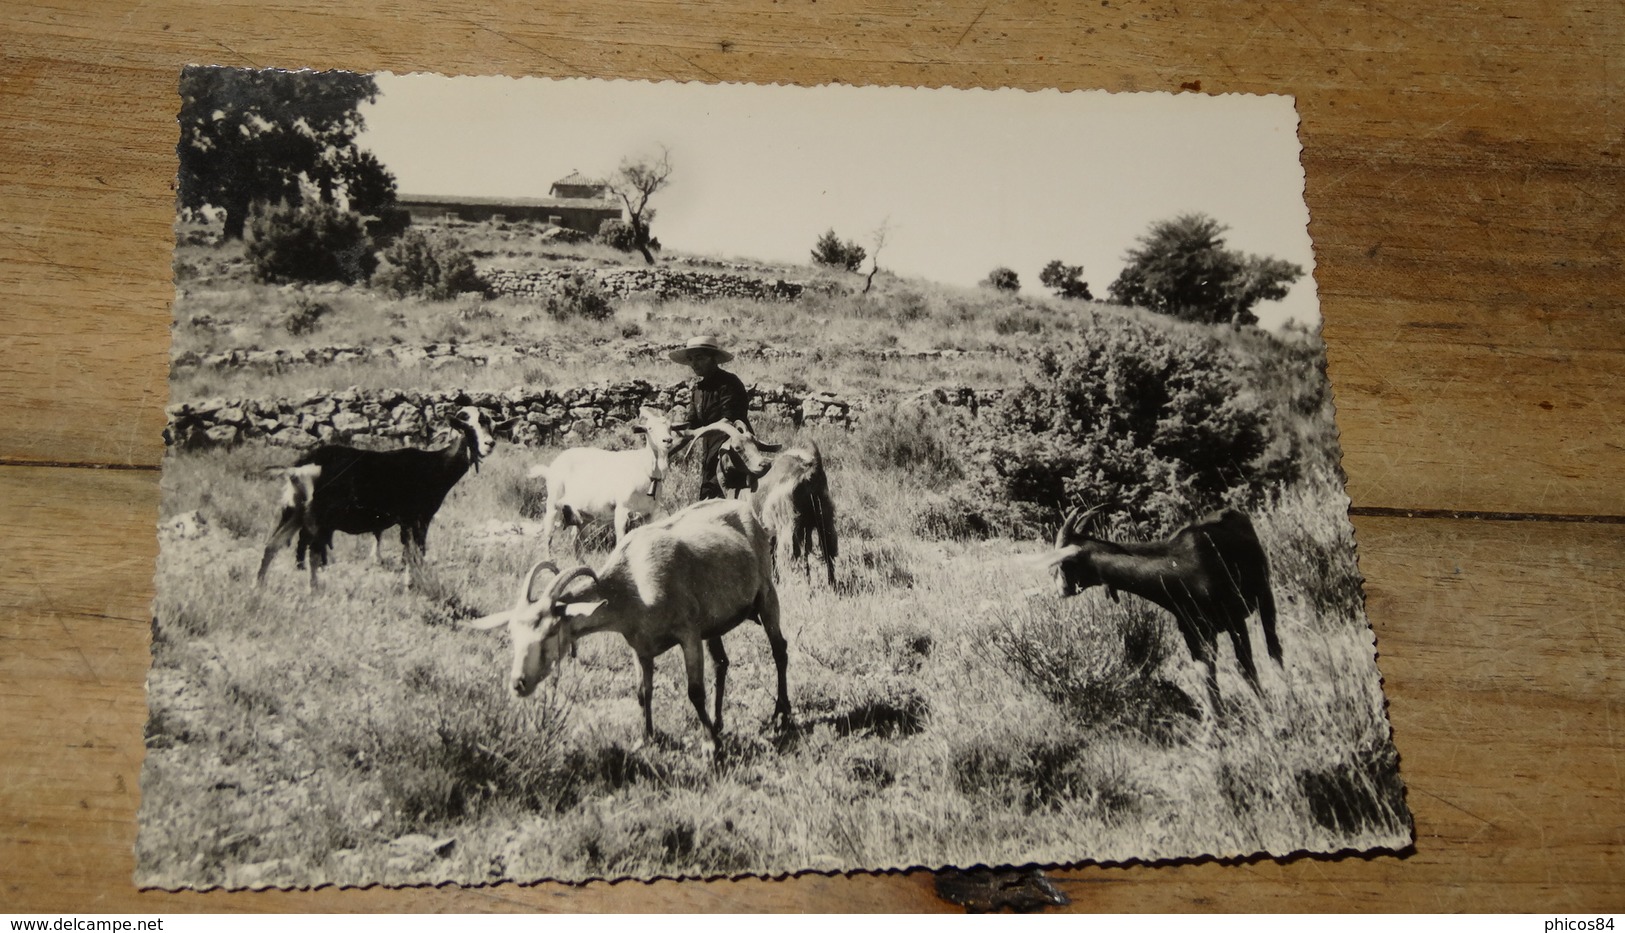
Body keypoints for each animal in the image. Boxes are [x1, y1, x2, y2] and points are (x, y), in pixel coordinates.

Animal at [251, 406, 494, 588]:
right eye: (467, 427)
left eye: (488, 423)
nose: (490, 444)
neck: (435, 466)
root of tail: (303, 466)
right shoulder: (419, 517)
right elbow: (415, 552)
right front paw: (414, 584)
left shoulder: (405, 521)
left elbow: (409, 552)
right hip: (319, 516)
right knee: (312, 553)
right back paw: (314, 589)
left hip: (294, 510)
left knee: (271, 545)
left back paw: (259, 587)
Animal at [464, 497, 793, 754]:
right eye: (512, 634)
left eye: (551, 630)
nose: (518, 683)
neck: (633, 583)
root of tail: (747, 510)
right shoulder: (639, 646)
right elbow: (642, 692)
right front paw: (646, 738)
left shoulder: (688, 632)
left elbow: (694, 691)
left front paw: (710, 745)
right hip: (714, 624)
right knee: (721, 663)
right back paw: (719, 721)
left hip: (767, 593)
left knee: (780, 650)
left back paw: (781, 715)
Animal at [754, 442, 845, 588]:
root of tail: (810, 473)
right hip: (824, 520)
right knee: (828, 550)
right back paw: (831, 584)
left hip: (792, 527)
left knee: (795, 555)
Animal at [1040, 503, 1280, 715]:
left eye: (1064, 564)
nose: (1060, 588)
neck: (1180, 569)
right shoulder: (1193, 632)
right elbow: (1206, 678)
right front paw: (1213, 727)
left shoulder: (1234, 618)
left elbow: (1245, 667)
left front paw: (1268, 715)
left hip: (1265, 594)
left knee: (1273, 646)